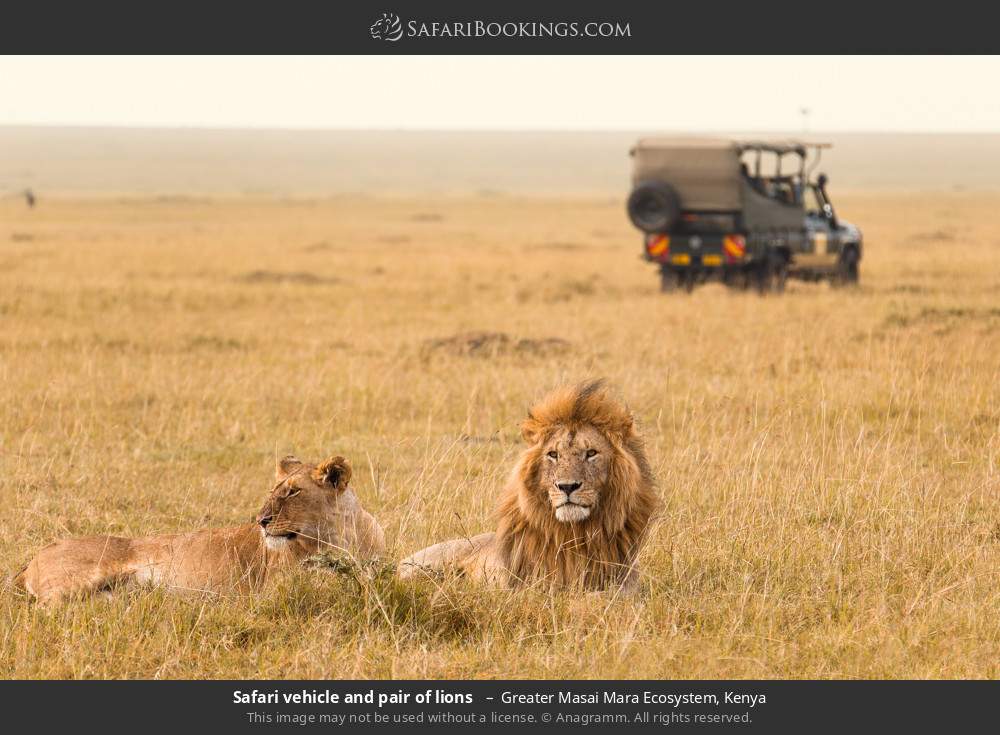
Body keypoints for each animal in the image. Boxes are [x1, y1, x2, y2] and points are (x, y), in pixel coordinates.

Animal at [14, 454, 386, 604]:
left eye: (293, 492)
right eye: (274, 489)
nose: (261, 520)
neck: (342, 536)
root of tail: (31, 560)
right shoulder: (276, 590)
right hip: (77, 579)